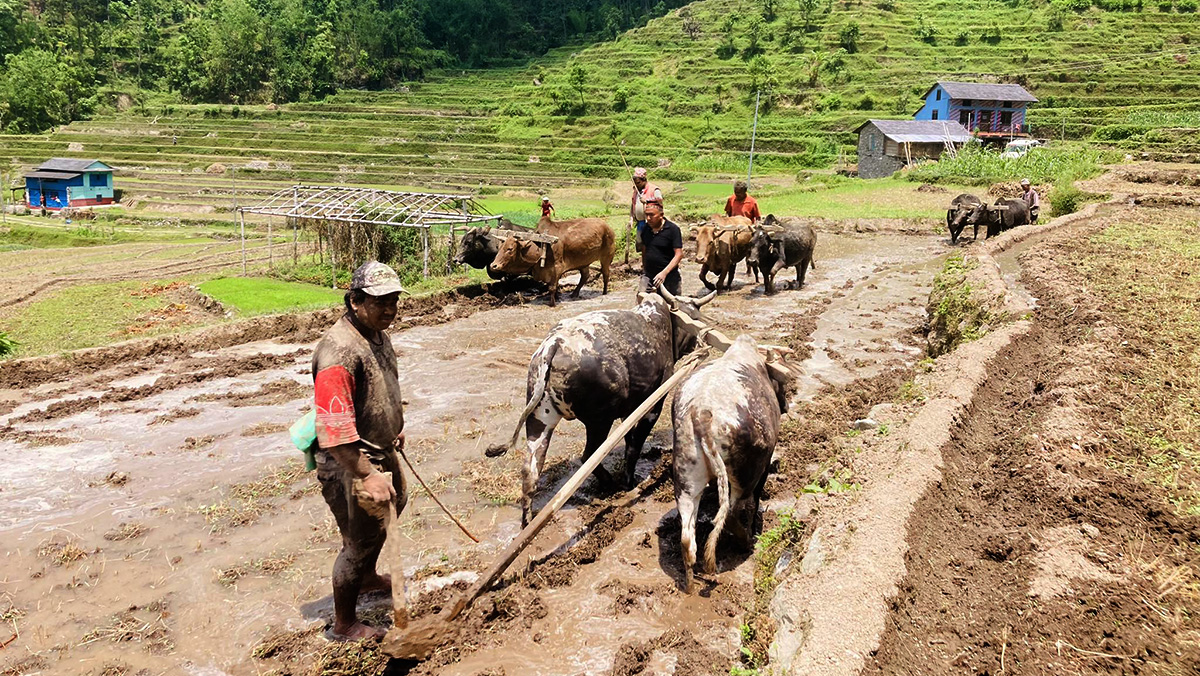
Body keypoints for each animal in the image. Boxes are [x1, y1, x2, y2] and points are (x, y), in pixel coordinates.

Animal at [484, 286, 710, 528]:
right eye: (695, 318)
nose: (697, 344)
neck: (659, 322)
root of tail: (554, 343)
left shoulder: (630, 409)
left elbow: (629, 439)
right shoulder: (652, 405)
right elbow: (634, 445)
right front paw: (628, 482)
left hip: (540, 420)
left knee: (531, 469)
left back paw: (528, 521)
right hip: (599, 420)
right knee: (588, 455)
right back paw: (608, 482)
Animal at [489, 217, 619, 307]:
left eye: (510, 249)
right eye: (499, 247)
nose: (493, 265)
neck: (541, 246)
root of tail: (608, 227)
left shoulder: (557, 267)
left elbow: (552, 287)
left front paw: (552, 303)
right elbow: (551, 286)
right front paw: (556, 297)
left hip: (606, 257)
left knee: (606, 273)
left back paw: (604, 292)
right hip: (583, 262)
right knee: (585, 276)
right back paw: (574, 293)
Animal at [672, 333, 792, 593]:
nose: (787, 405)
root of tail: (701, 411)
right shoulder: (764, 466)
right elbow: (754, 503)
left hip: (686, 481)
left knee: (687, 539)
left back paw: (690, 585)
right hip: (743, 477)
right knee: (731, 514)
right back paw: (747, 542)